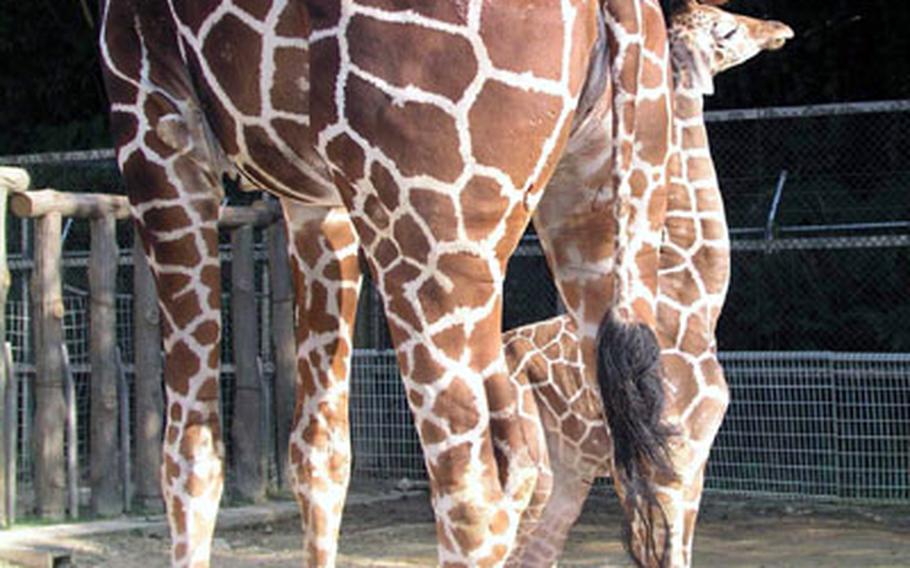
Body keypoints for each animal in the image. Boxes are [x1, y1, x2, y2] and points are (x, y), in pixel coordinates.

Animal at [101, 1, 676, 568]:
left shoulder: (152, 126)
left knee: (472, 497)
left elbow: (189, 454)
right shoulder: (316, 198)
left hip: (426, 238)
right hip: (604, 209)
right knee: (646, 476)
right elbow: (321, 452)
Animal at [502, 2, 796, 564]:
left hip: (567, 473)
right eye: (726, 30)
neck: (695, 296)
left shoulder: (683, 465)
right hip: (530, 468)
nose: (780, 30)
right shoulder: (673, 462)